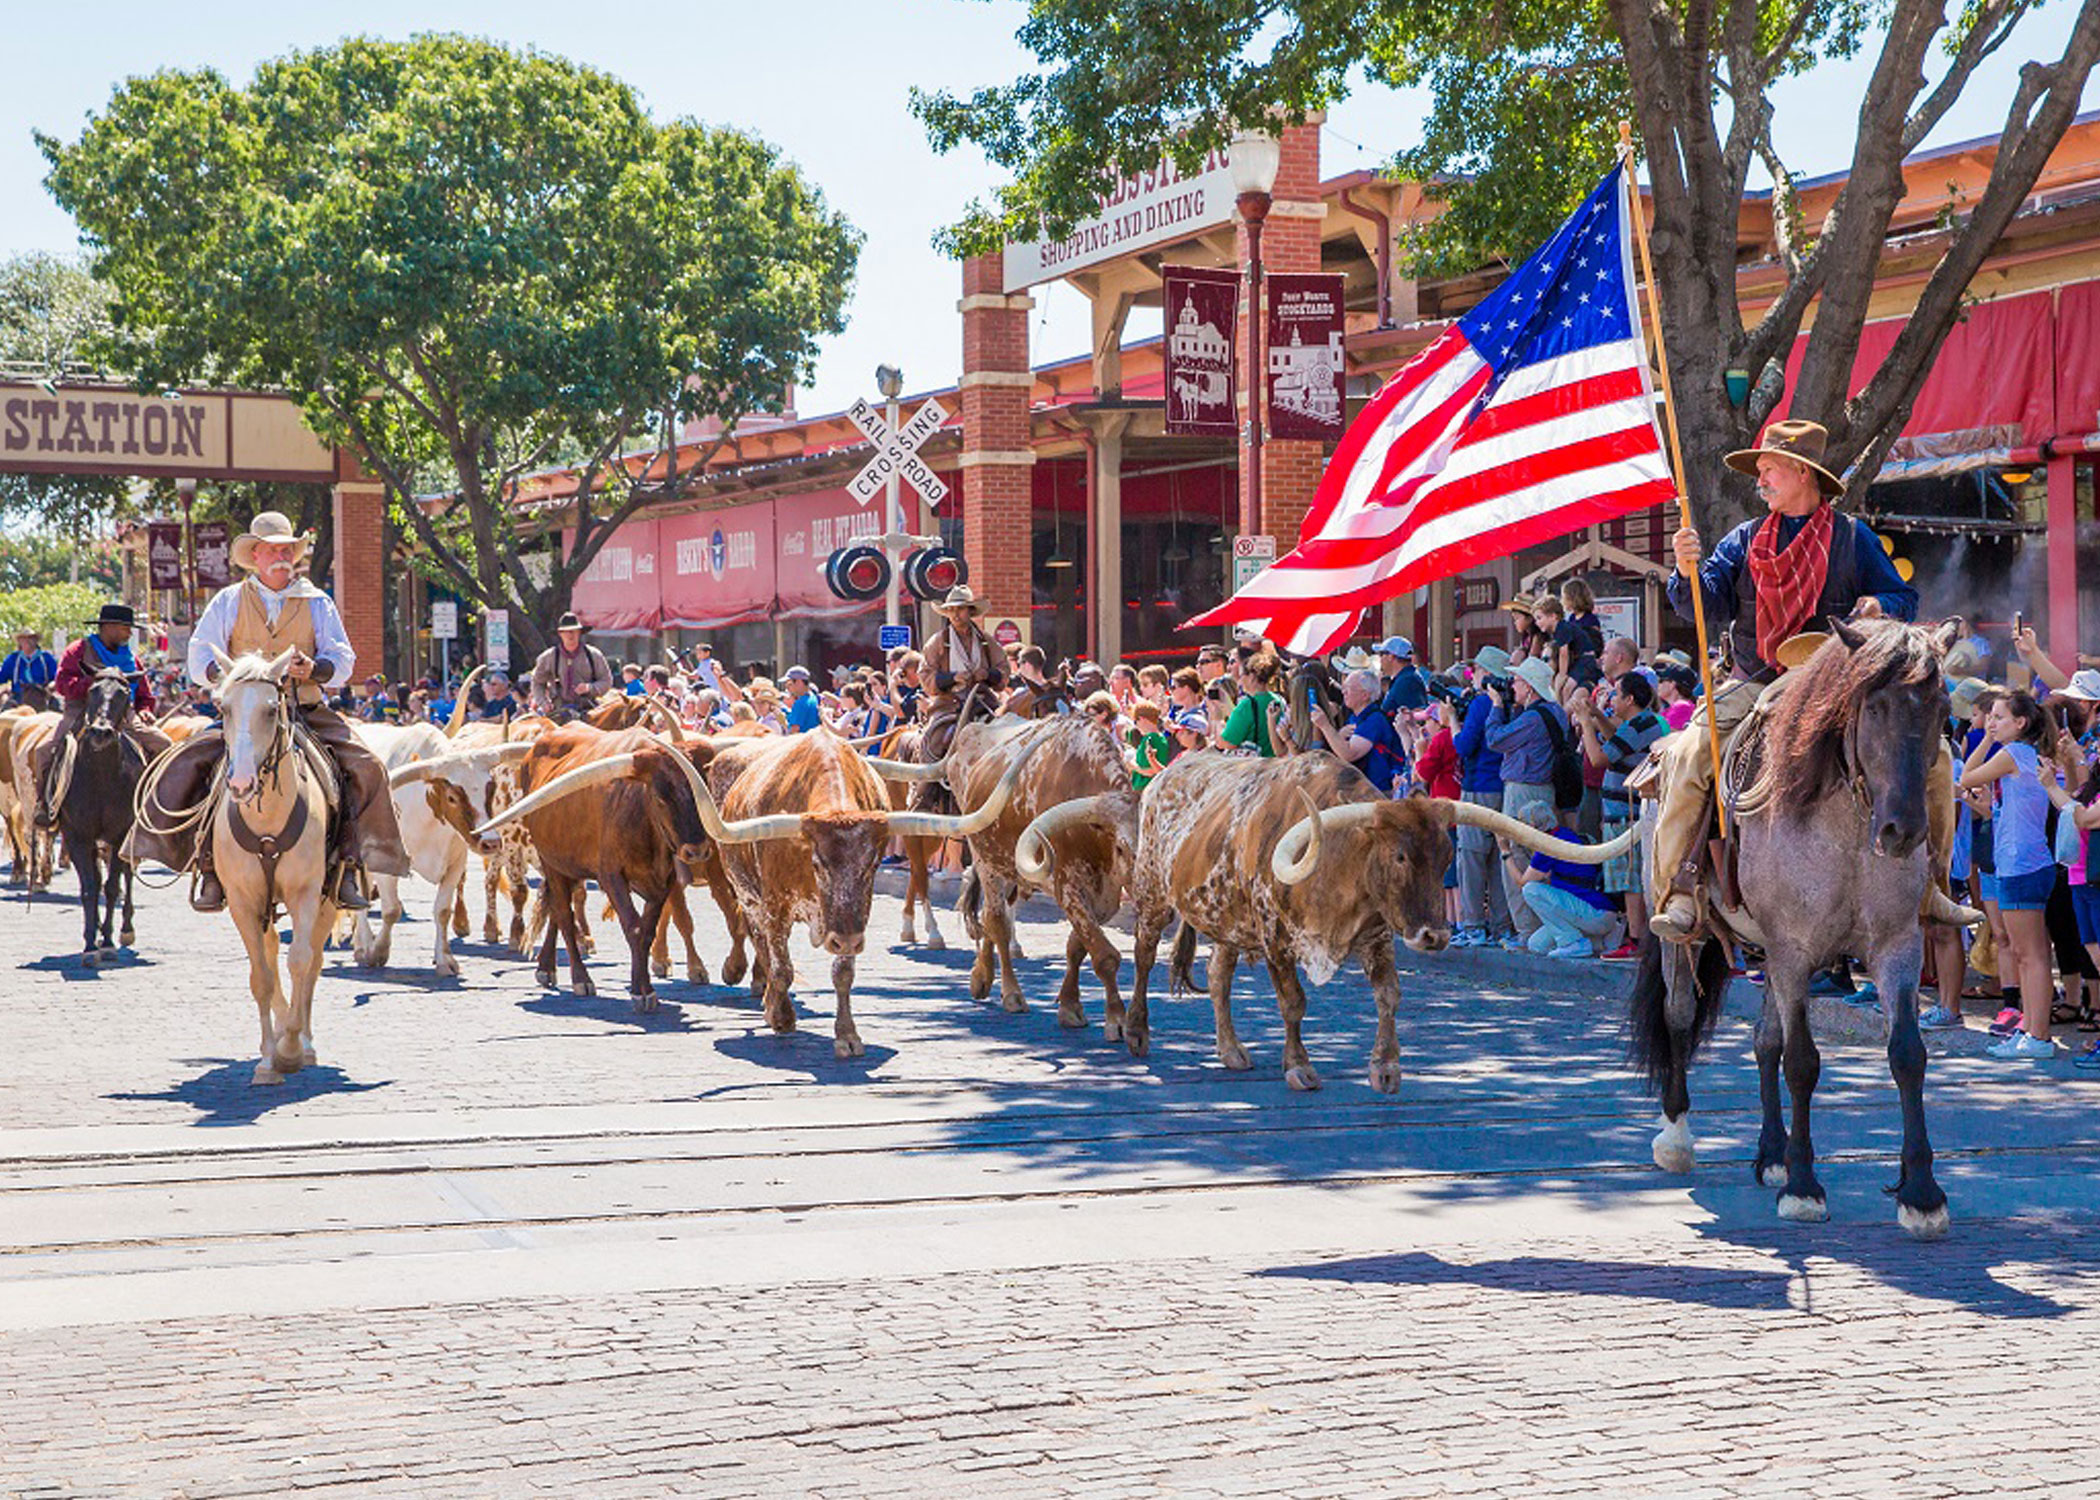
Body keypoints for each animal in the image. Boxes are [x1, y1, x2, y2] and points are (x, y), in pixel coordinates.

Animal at [1621, 613, 1965, 1235]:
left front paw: (1922, 1193)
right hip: (1688, 935)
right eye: (1874, 706)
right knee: (1679, 1016)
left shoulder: (1894, 946)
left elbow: (1907, 1055)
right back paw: (1677, 1136)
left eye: (1941, 711)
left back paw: (1772, 1153)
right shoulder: (1794, 950)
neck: (1848, 828)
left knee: (1764, 1041)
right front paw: (1805, 1188)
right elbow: (1803, 1063)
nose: (1903, 831)